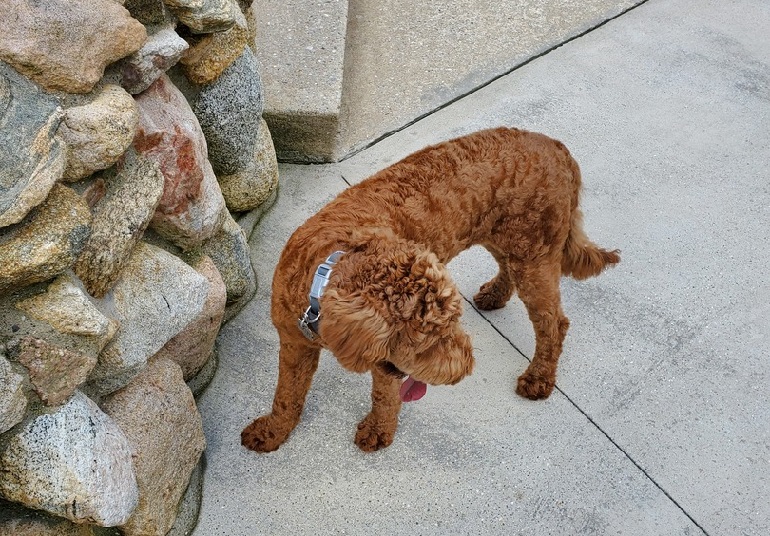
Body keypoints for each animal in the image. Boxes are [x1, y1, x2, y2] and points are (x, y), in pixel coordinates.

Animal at [240, 129, 616, 452]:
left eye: (453, 325)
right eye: (427, 342)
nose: (467, 368)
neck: (328, 266)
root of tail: (557, 146)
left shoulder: (383, 364)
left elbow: (385, 396)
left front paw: (377, 432)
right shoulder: (293, 343)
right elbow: (286, 394)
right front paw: (273, 431)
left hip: (533, 253)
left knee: (554, 324)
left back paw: (538, 379)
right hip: (503, 239)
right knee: (511, 273)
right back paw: (495, 296)